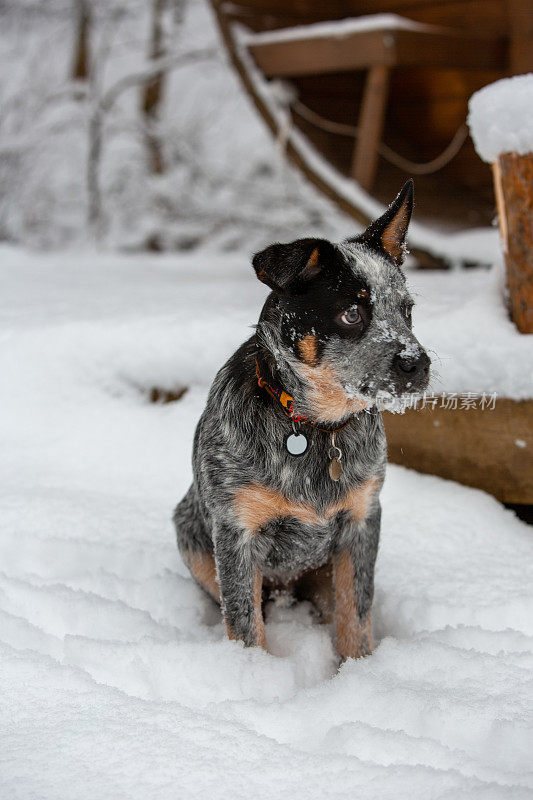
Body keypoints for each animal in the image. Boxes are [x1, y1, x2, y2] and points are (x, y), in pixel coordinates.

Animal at [172, 181, 430, 664]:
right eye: (352, 313)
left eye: (406, 311)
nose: (418, 363)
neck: (314, 429)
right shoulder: (236, 529)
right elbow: (245, 624)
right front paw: (252, 673)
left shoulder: (363, 519)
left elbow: (356, 611)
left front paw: (359, 670)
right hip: (189, 535)